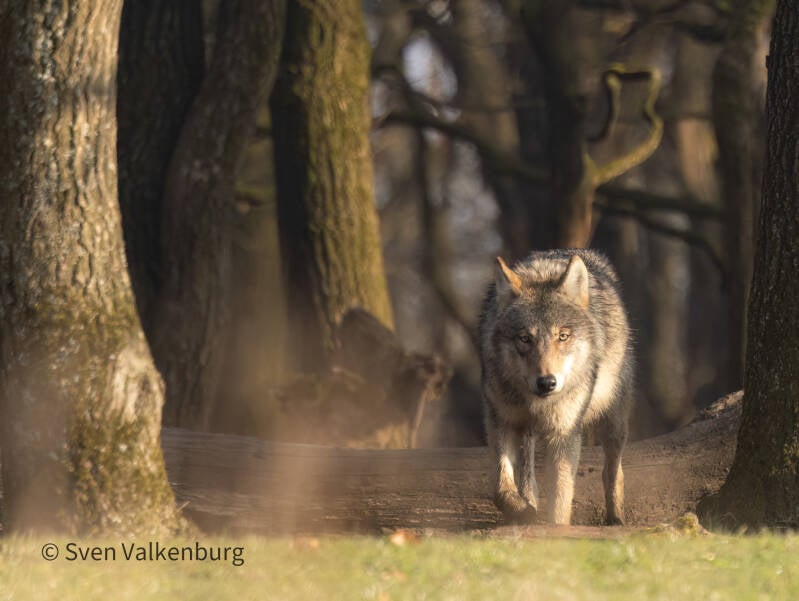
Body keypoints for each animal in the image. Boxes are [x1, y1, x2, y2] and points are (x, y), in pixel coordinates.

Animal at [479, 249, 633, 525]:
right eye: (524, 338)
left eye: (562, 336)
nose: (547, 382)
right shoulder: (501, 421)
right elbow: (501, 487)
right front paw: (521, 511)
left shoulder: (565, 432)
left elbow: (561, 496)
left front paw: (555, 528)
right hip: (525, 429)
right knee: (528, 474)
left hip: (614, 424)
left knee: (613, 472)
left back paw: (616, 519)